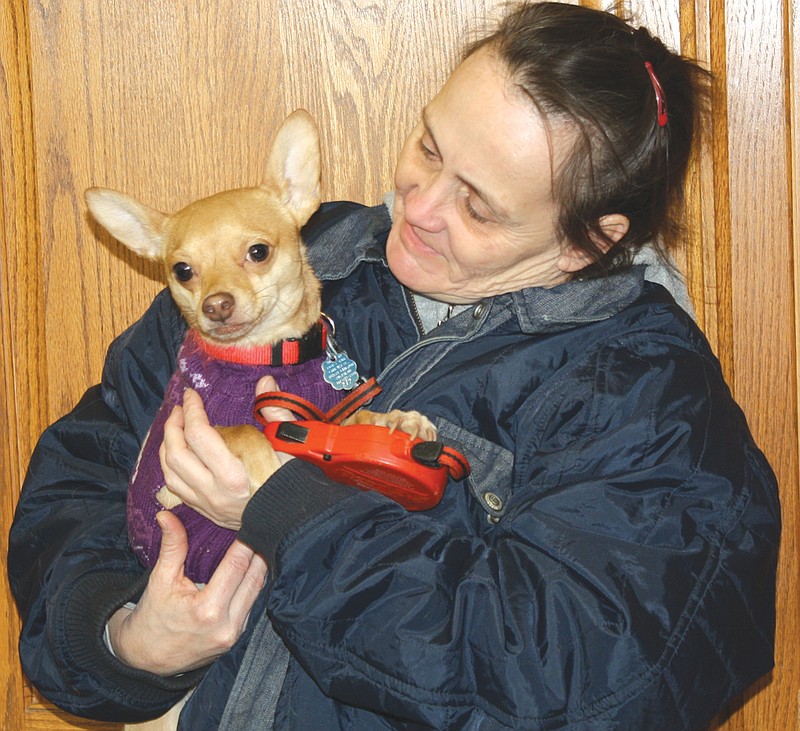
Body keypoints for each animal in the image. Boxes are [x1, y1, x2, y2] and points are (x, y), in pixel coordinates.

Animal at [86, 108, 432, 580]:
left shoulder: (319, 417)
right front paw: (268, 466)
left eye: (258, 252)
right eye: (182, 271)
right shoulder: (181, 456)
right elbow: (242, 430)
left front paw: (395, 420)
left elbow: (353, 419)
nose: (216, 305)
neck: (264, 355)